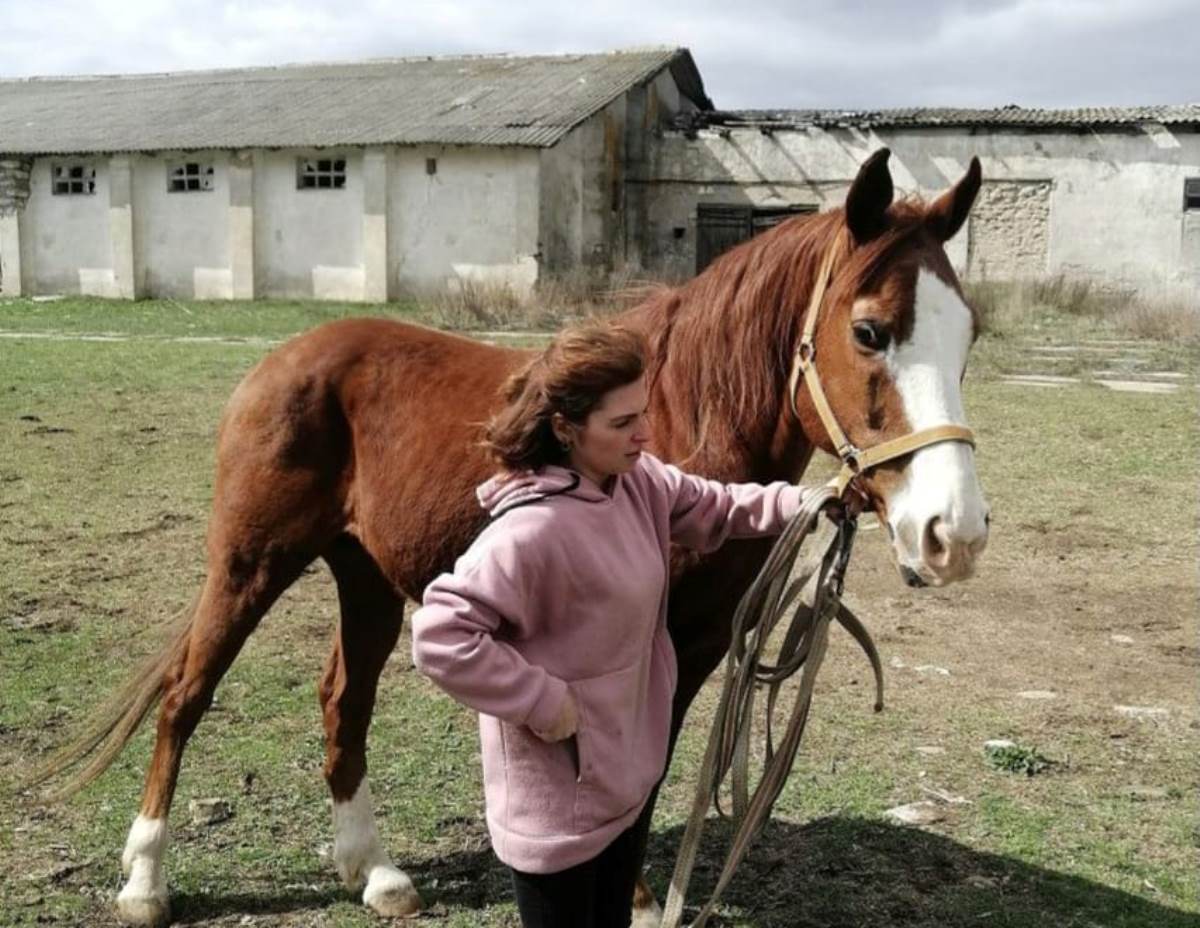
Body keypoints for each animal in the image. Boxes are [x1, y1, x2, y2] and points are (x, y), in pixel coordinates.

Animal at [32, 148, 988, 921]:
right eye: (867, 330)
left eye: (968, 335)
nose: (955, 534)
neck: (682, 413)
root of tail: (283, 360)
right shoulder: (653, 641)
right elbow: (633, 768)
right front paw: (635, 896)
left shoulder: (703, 641)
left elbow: (650, 762)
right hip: (248, 563)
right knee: (186, 696)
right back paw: (145, 883)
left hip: (367, 577)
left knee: (344, 700)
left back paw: (374, 873)